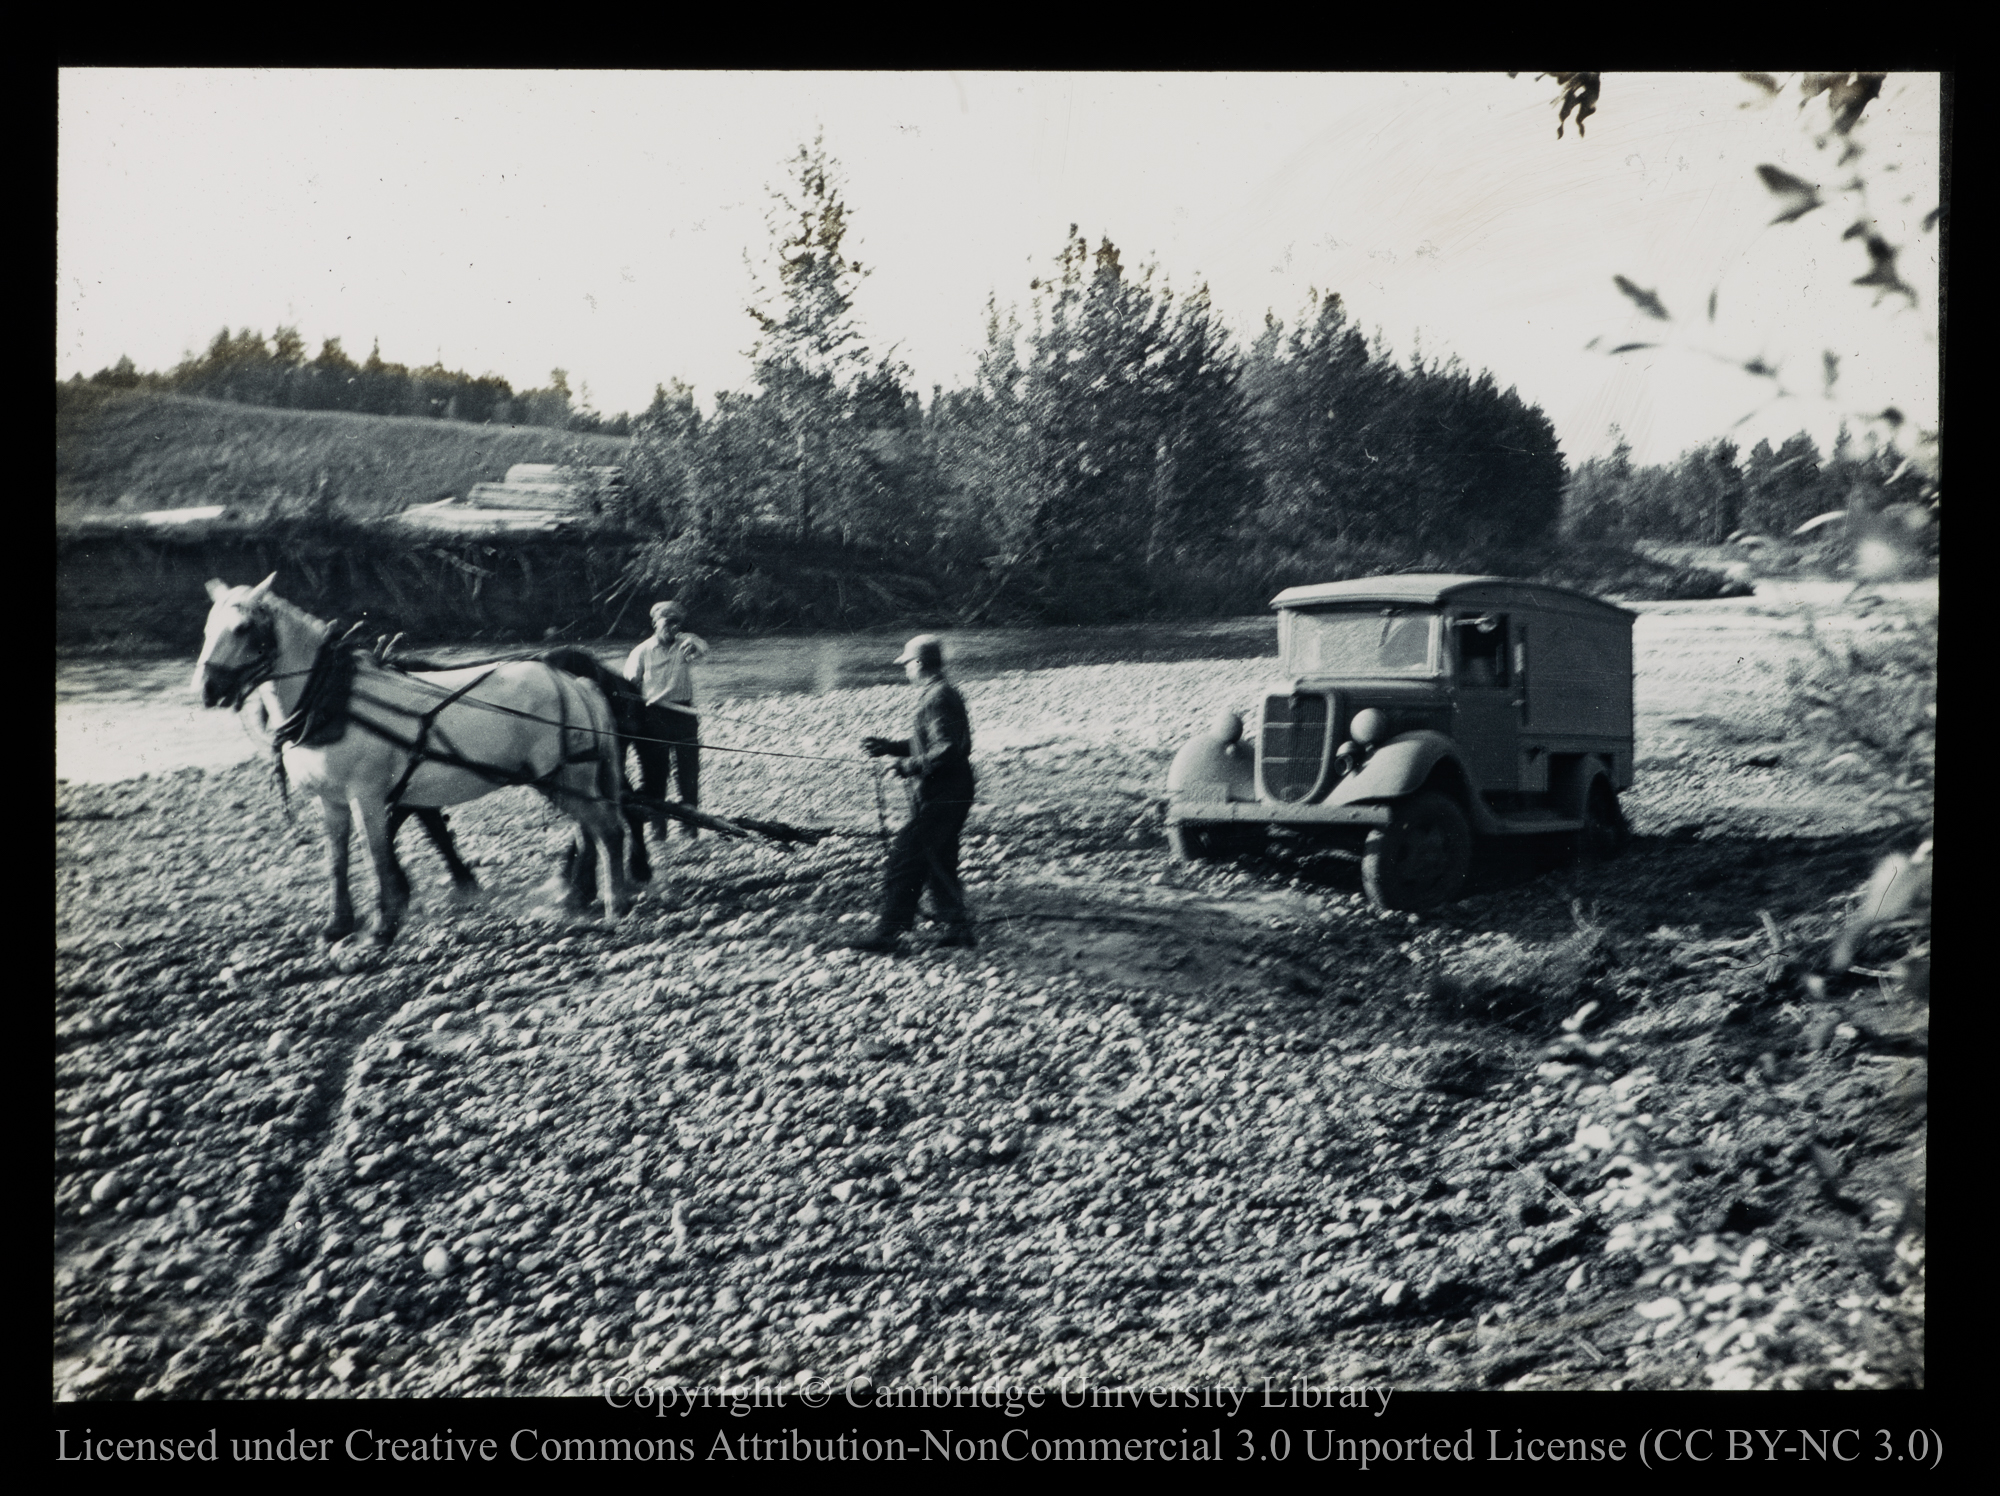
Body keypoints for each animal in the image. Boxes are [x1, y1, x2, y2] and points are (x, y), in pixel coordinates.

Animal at [193, 576, 632, 948]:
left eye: (243, 628)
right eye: (207, 629)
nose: (207, 689)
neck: (331, 698)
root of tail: (574, 683)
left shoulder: (366, 796)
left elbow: (376, 855)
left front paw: (382, 927)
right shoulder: (331, 801)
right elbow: (337, 860)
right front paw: (337, 925)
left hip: (567, 778)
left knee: (608, 831)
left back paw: (614, 902)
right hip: (565, 779)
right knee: (590, 832)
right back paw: (582, 897)